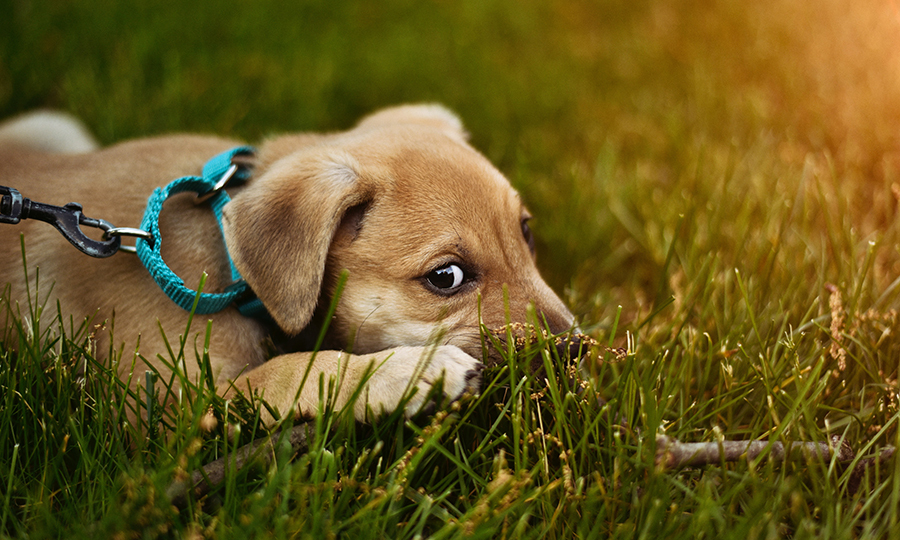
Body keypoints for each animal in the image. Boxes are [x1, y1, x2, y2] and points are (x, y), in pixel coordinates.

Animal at [0, 105, 576, 424]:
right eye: (446, 277)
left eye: (526, 231)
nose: (574, 350)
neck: (229, 266)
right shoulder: (165, 410)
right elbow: (290, 370)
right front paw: (409, 372)